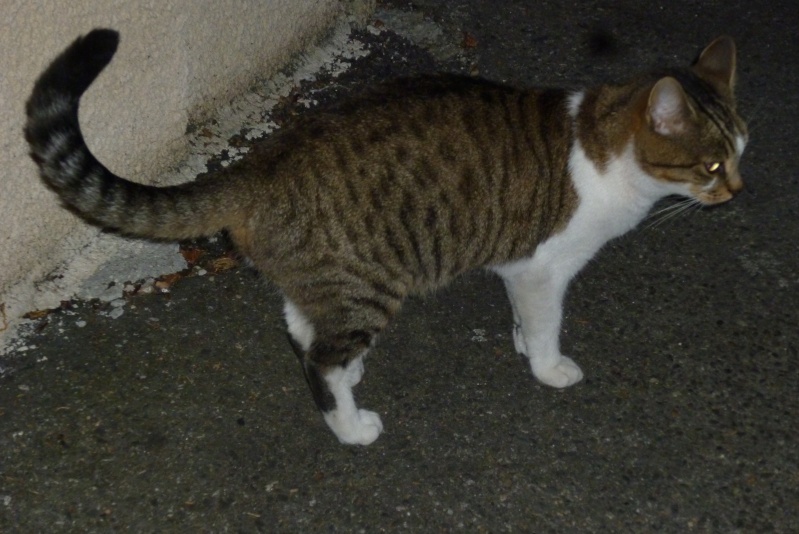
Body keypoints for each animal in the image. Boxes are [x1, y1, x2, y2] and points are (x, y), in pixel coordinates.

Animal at [25, 31, 752, 446]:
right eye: (712, 167)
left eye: (742, 151)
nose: (739, 193)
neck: (610, 158)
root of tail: (260, 166)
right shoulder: (543, 267)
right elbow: (546, 323)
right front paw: (547, 366)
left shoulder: (520, 272)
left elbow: (524, 319)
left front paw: (521, 342)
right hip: (370, 284)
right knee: (317, 359)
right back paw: (349, 425)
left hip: (331, 278)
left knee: (301, 326)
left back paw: (351, 372)